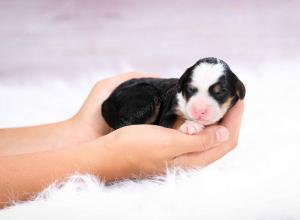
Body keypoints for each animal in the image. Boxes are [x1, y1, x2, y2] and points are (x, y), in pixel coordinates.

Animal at [102, 56, 245, 135]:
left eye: (220, 92)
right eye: (190, 89)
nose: (199, 110)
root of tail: (108, 99)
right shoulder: (168, 113)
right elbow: (175, 120)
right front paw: (190, 125)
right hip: (146, 95)